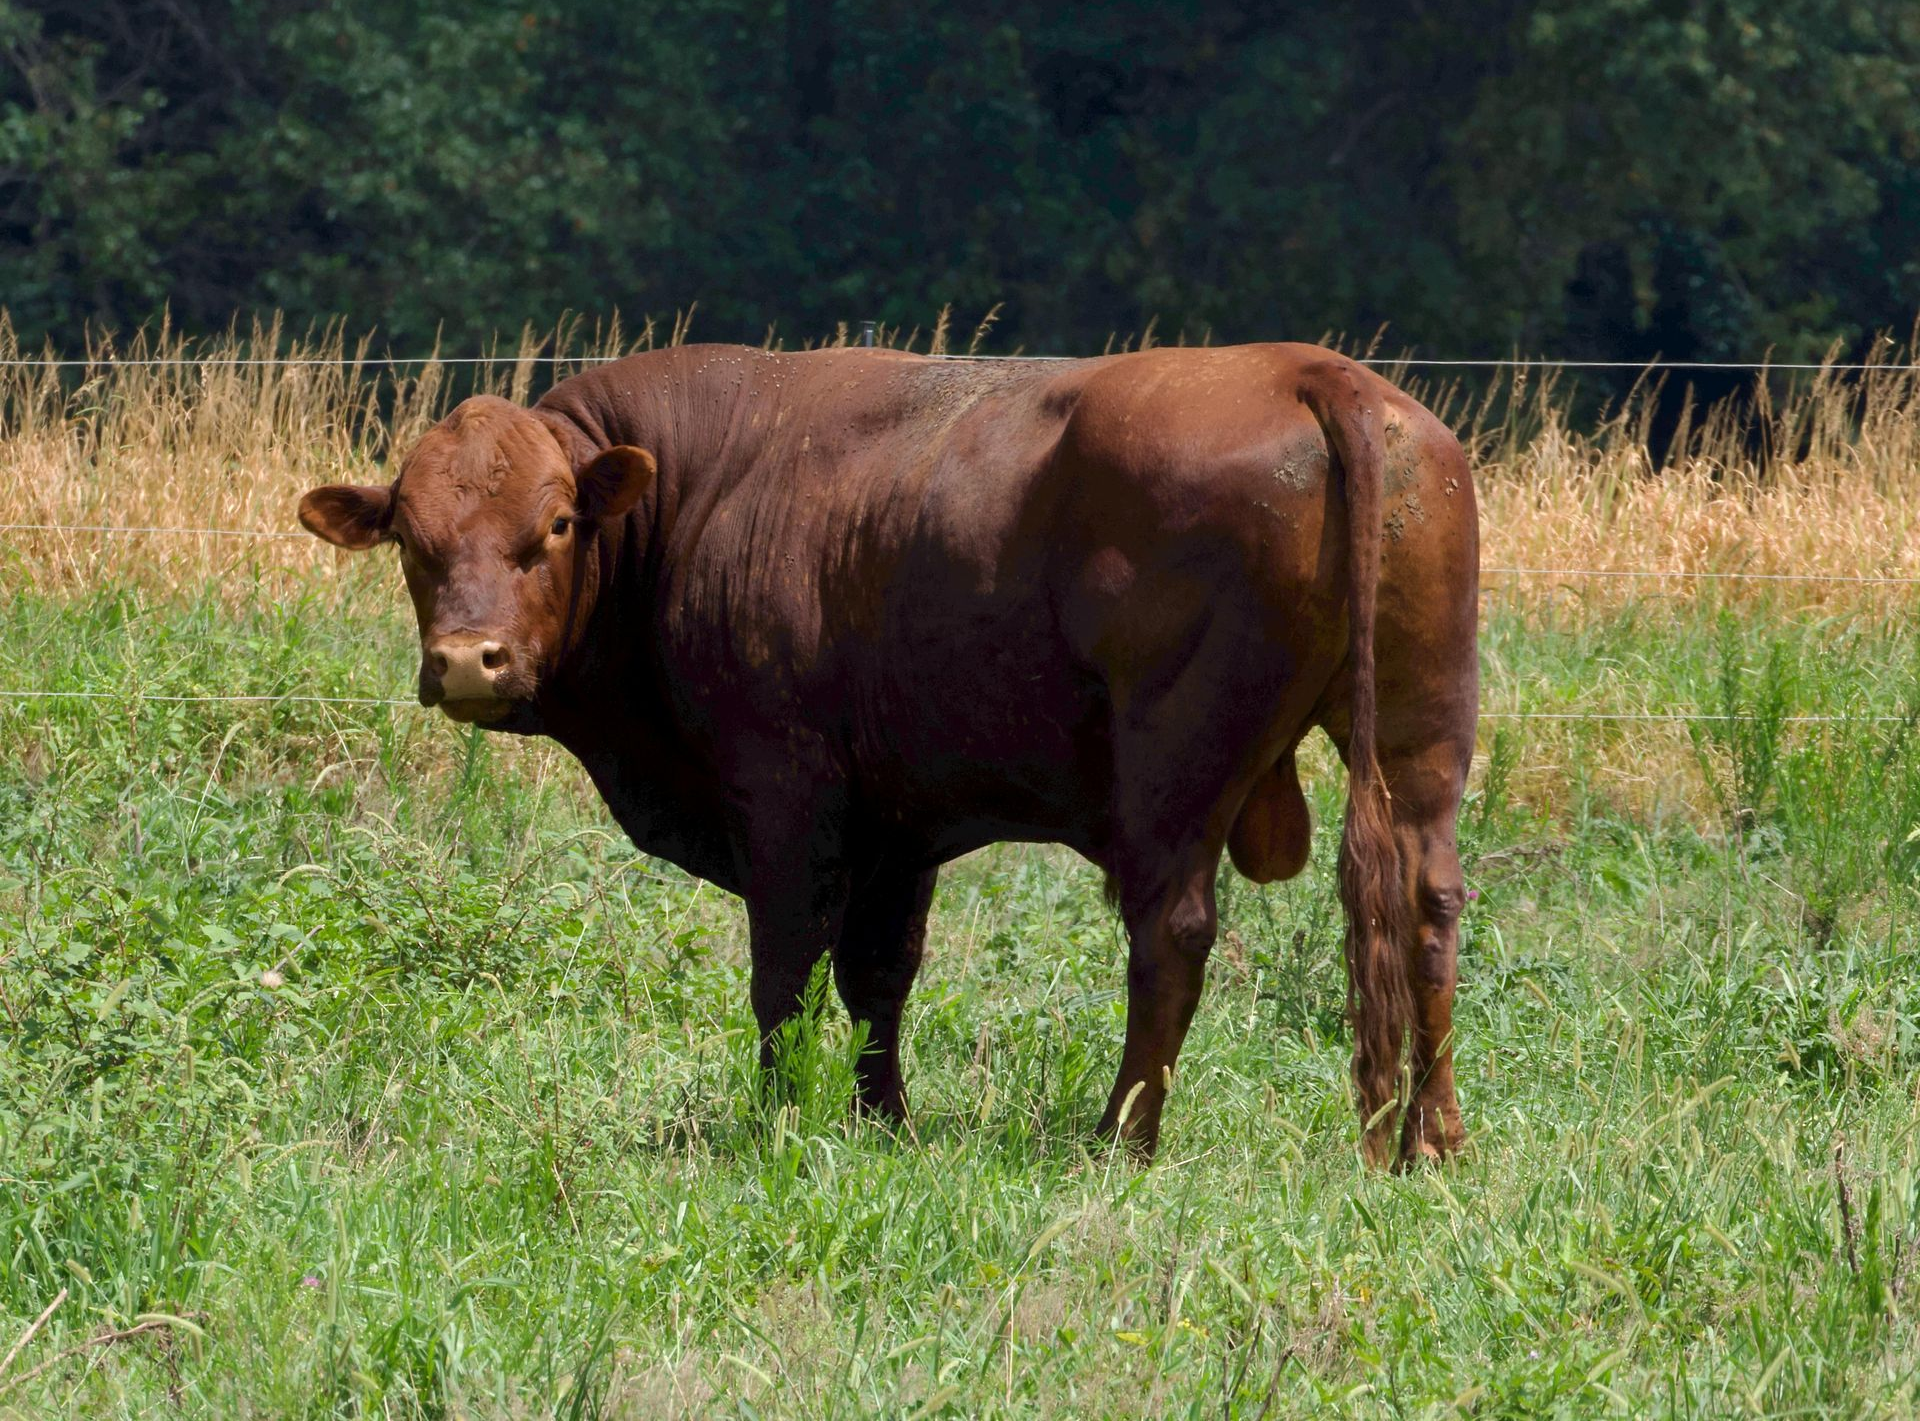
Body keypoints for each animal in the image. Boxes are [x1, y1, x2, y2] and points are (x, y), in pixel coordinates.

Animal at [298, 342, 1478, 1167]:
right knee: (1425, 905)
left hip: (1174, 760)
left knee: (1172, 934)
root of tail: (1307, 368)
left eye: (550, 526)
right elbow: (880, 976)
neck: (699, 495)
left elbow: (786, 974)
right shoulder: (899, 822)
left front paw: (780, 1119)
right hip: (1420, 735)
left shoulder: (784, 794)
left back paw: (1120, 1137)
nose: (468, 660)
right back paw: (1430, 1140)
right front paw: (881, 1120)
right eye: (412, 537)